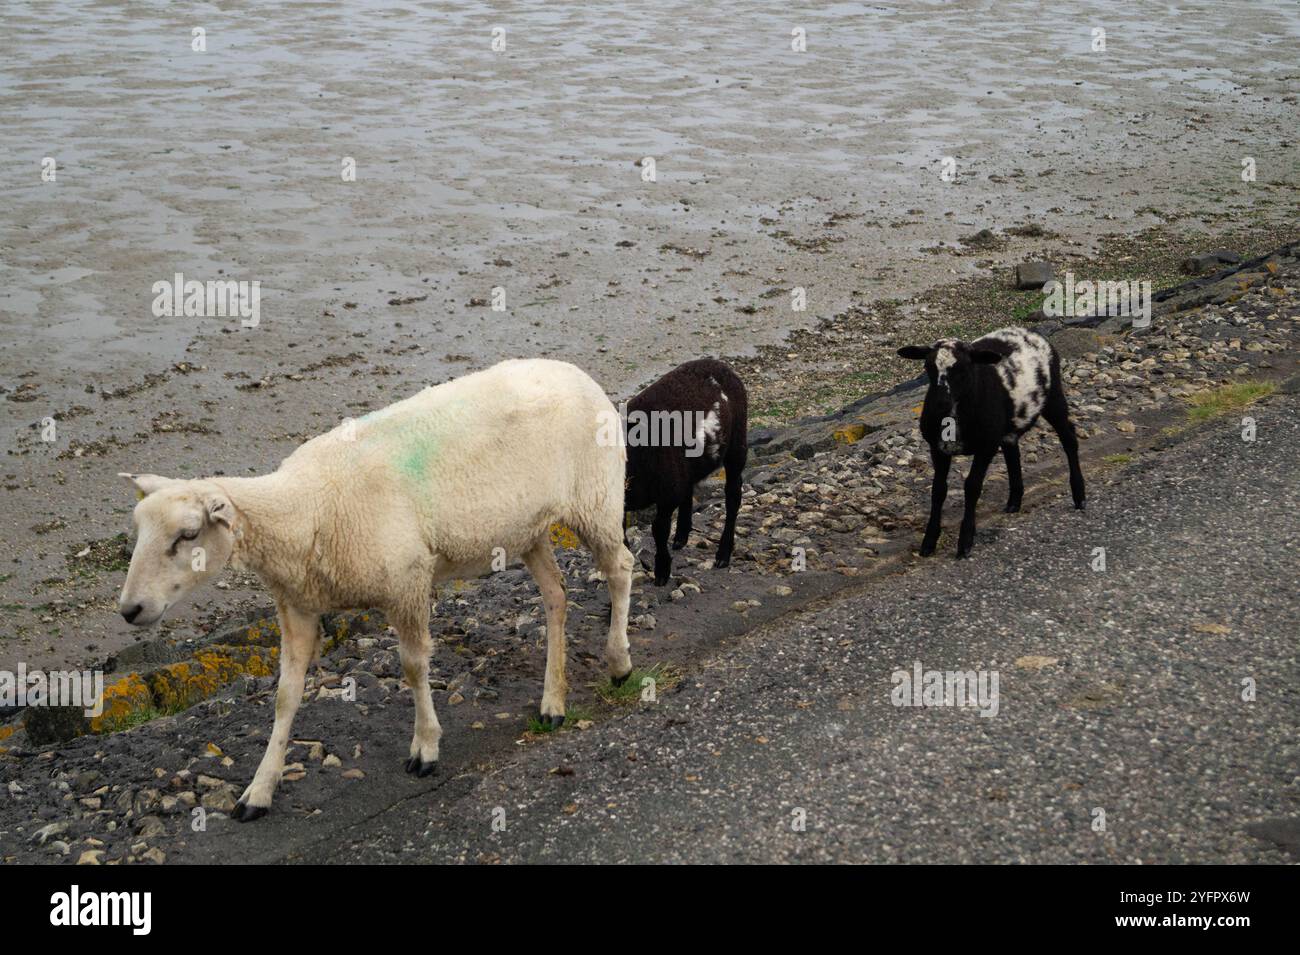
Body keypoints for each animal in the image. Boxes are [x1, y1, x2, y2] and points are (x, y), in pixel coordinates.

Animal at [116, 358, 634, 821]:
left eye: (187, 534)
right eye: (138, 530)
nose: (129, 609)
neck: (305, 508)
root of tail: (574, 371)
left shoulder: (407, 581)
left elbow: (413, 667)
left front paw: (425, 747)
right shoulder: (297, 606)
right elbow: (285, 696)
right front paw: (260, 790)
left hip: (596, 499)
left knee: (621, 568)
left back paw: (619, 662)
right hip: (529, 529)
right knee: (556, 597)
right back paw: (553, 703)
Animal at [621, 356, 748, 587]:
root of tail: (717, 363)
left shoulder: (667, 493)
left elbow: (659, 529)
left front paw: (662, 570)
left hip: (737, 442)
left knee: (733, 496)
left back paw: (723, 554)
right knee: (689, 487)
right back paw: (681, 535)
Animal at [894, 324, 1086, 556]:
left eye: (963, 369)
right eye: (928, 366)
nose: (940, 403)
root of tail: (1028, 331)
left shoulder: (986, 446)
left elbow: (972, 486)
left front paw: (965, 541)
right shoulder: (937, 448)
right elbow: (938, 490)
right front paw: (929, 542)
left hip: (1054, 396)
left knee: (1069, 439)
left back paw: (1079, 496)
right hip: (1008, 425)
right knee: (1012, 451)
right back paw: (1014, 501)